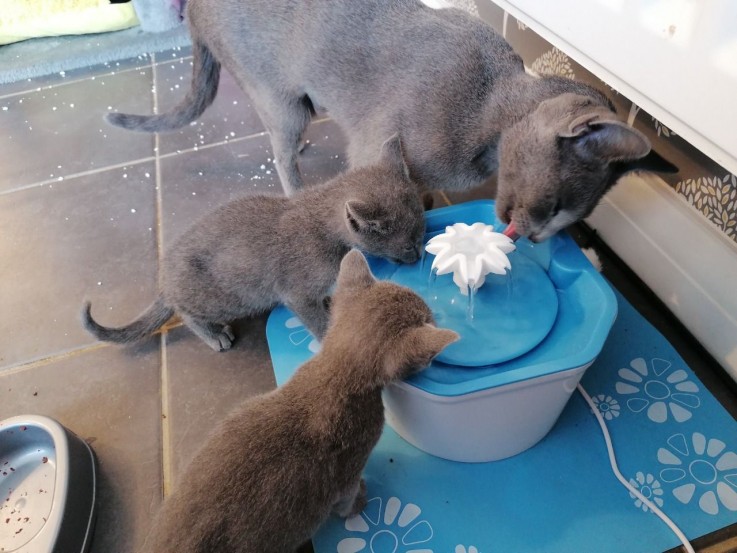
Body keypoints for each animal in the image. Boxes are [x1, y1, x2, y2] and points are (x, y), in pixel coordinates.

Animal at [81, 134, 422, 350]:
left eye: (422, 233)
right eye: (407, 245)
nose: (418, 256)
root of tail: (164, 281)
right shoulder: (296, 292)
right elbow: (313, 316)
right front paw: (328, 333)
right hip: (223, 298)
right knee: (188, 313)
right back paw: (214, 336)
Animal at [106, 0, 676, 242]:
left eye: (572, 218)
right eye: (553, 205)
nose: (538, 239)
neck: (488, 111)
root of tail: (194, 11)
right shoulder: (376, 144)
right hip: (280, 96)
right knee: (280, 154)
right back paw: (294, 183)